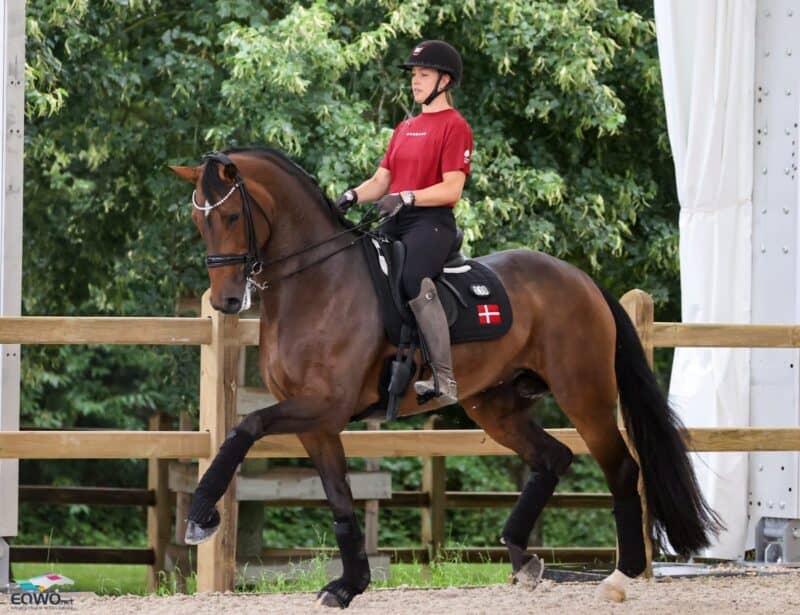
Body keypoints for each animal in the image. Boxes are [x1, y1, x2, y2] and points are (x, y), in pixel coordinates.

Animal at [169, 148, 720, 608]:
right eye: (198, 221)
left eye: (231, 216)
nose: (226, 301)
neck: (317, 282)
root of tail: (581, 280)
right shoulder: (317, 423)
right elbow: (340, 499)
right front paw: (349, 585)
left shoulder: (323, 405)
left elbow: (243, 429)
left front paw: (201, 516)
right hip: (494, 405)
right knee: (552, 457)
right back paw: (522, 557)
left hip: (584, 394)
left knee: (622, 468)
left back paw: (619, 577)